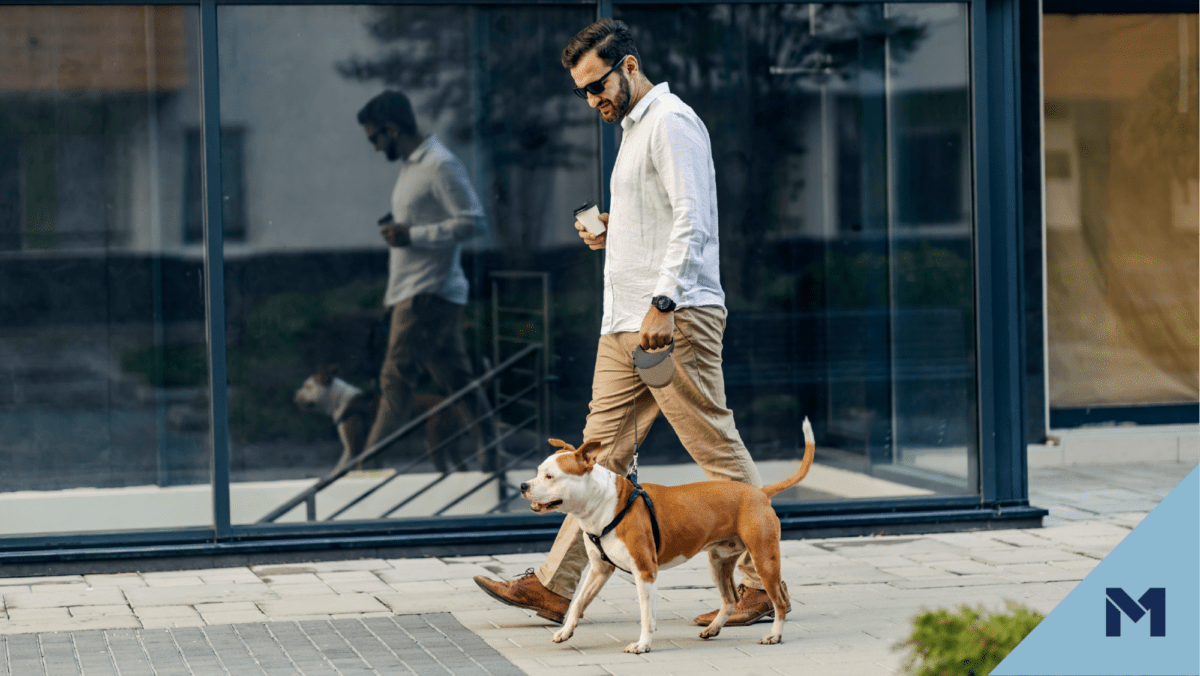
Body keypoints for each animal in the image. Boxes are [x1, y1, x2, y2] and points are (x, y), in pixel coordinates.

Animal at [292, 367, 480, 473]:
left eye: (307, 386)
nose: (294, 396)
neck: (340, 400)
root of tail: (453, 404)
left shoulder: (354, 446)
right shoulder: (355, 449)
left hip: (435, 441)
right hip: (450, 444)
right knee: (460, 467)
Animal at [520, 420, 820, 653]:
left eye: (550, 476)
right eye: (537, 473)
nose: (523, 485)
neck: (604, 503)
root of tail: (760, 492)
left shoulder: (645, 572)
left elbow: (646, 615)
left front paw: (642, 645)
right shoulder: (599, 569)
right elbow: (578, 602)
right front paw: (565, 632)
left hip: (763, 557)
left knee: (779, 600)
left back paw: (774, 635)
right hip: (718, 561)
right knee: (730, 600)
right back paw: (713, 629)